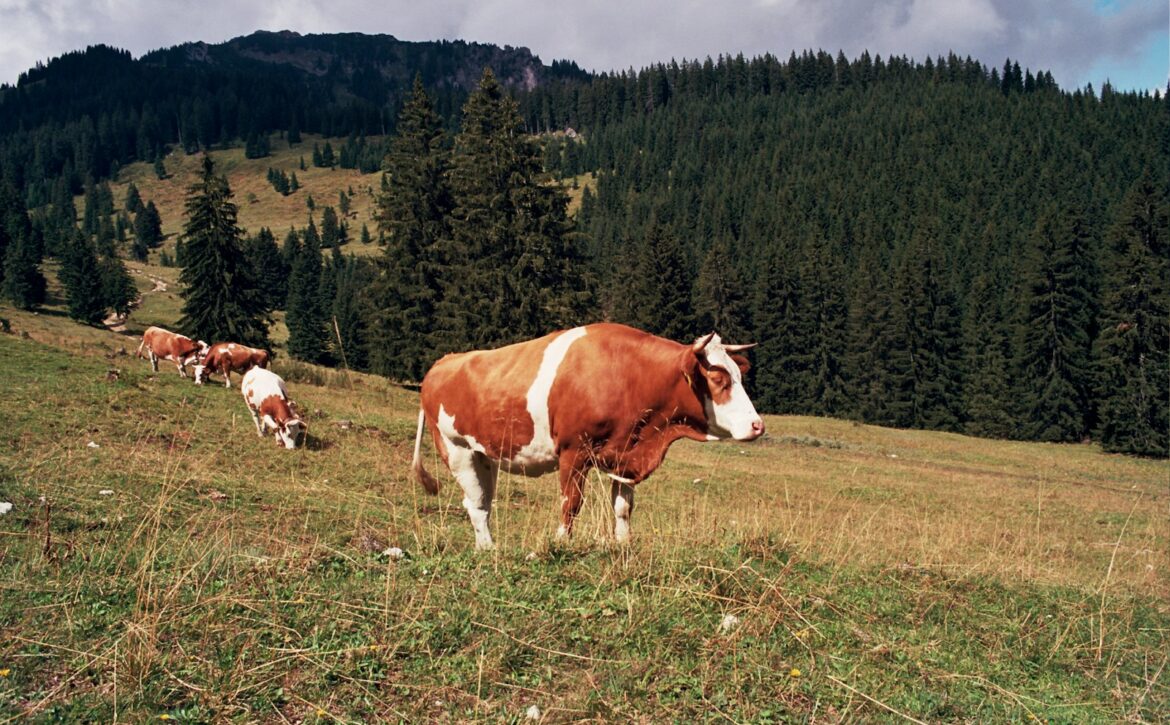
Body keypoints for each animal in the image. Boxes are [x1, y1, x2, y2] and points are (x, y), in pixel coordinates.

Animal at [411, 323, 764, 550]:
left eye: (738, 375)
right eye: (718, 379)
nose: (758, 425)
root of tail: (444, 362)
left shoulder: (625, 456)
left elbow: (623, 507)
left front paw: (623, 543)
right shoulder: (574, 451)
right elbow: (571, 503)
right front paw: (560, 543)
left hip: (485, 455)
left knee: (482, 501)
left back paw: (487, 547)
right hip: (457, 449)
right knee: (474, 503)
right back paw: (488, 548)